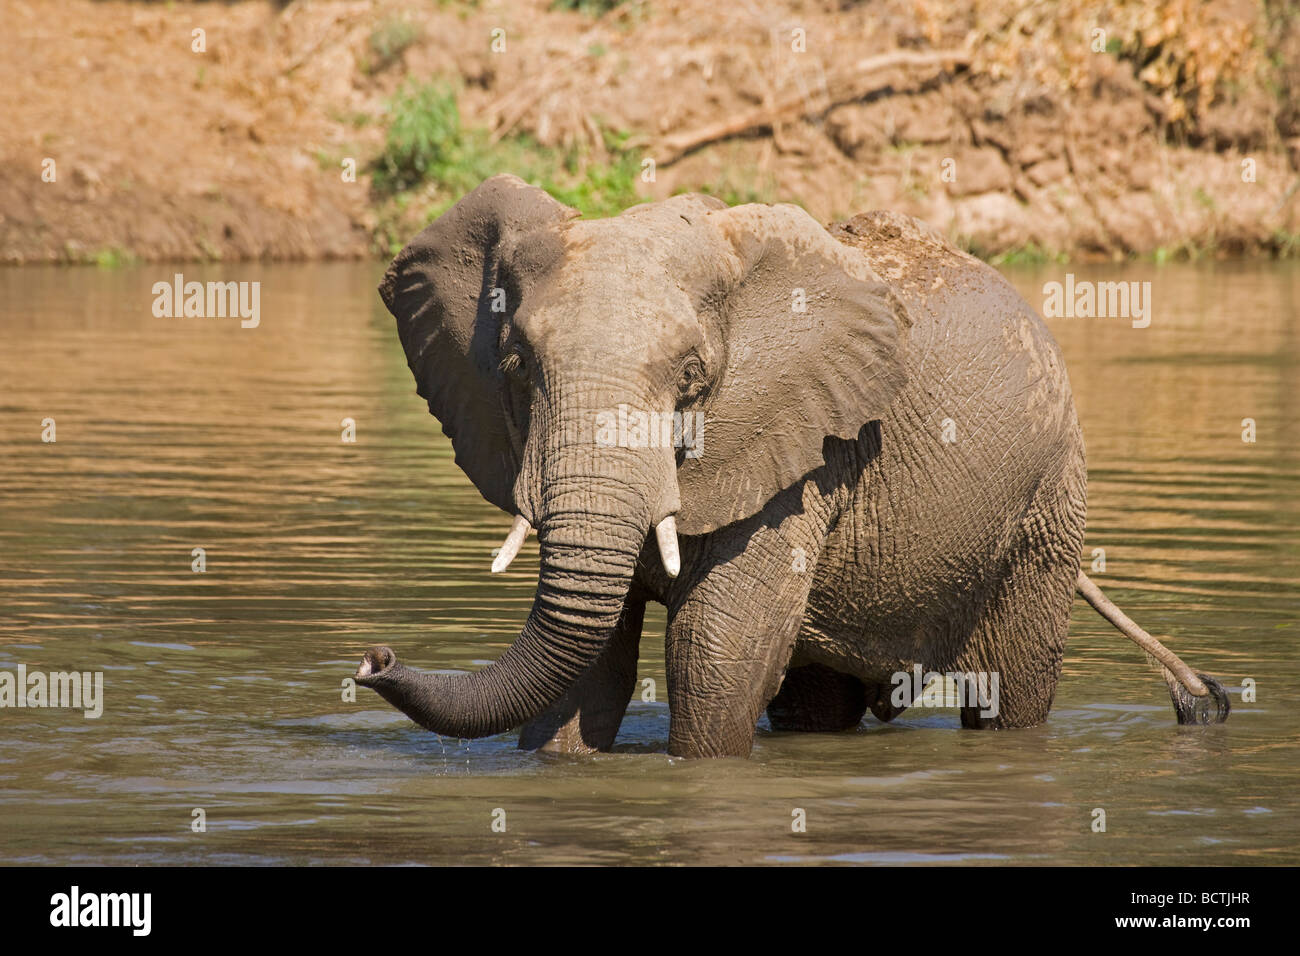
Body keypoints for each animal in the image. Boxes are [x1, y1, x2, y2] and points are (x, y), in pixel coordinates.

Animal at [353, 175, 1227, 759]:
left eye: (693, 378)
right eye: (516, 368)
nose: (373, 657)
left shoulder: (804, 456)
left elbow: (713, 656)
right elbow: (588, 671)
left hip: (1046, 501)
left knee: (1010, 694)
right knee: (815, 704)